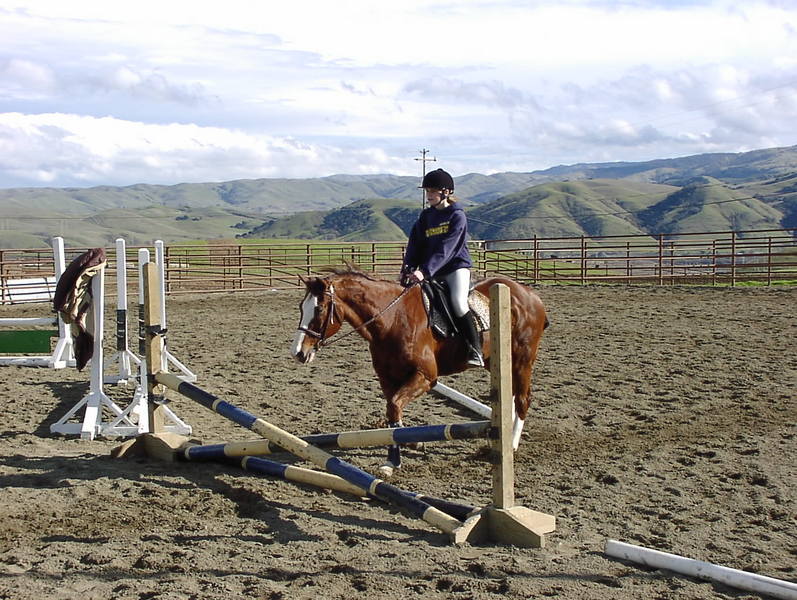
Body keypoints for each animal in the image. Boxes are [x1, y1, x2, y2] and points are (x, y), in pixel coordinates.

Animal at [290, 266, 548, 477]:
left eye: (320, 309)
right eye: (301, 307)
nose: (299, 353)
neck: (392, 319)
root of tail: (530, 294)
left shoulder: (425, 378)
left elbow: (394, 406)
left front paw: (397, 457)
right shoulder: (387, 378)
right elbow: (392, 413)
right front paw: (402, 451)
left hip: (522, 360)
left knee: (523, 399)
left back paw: (511, 444)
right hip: (495, 359)